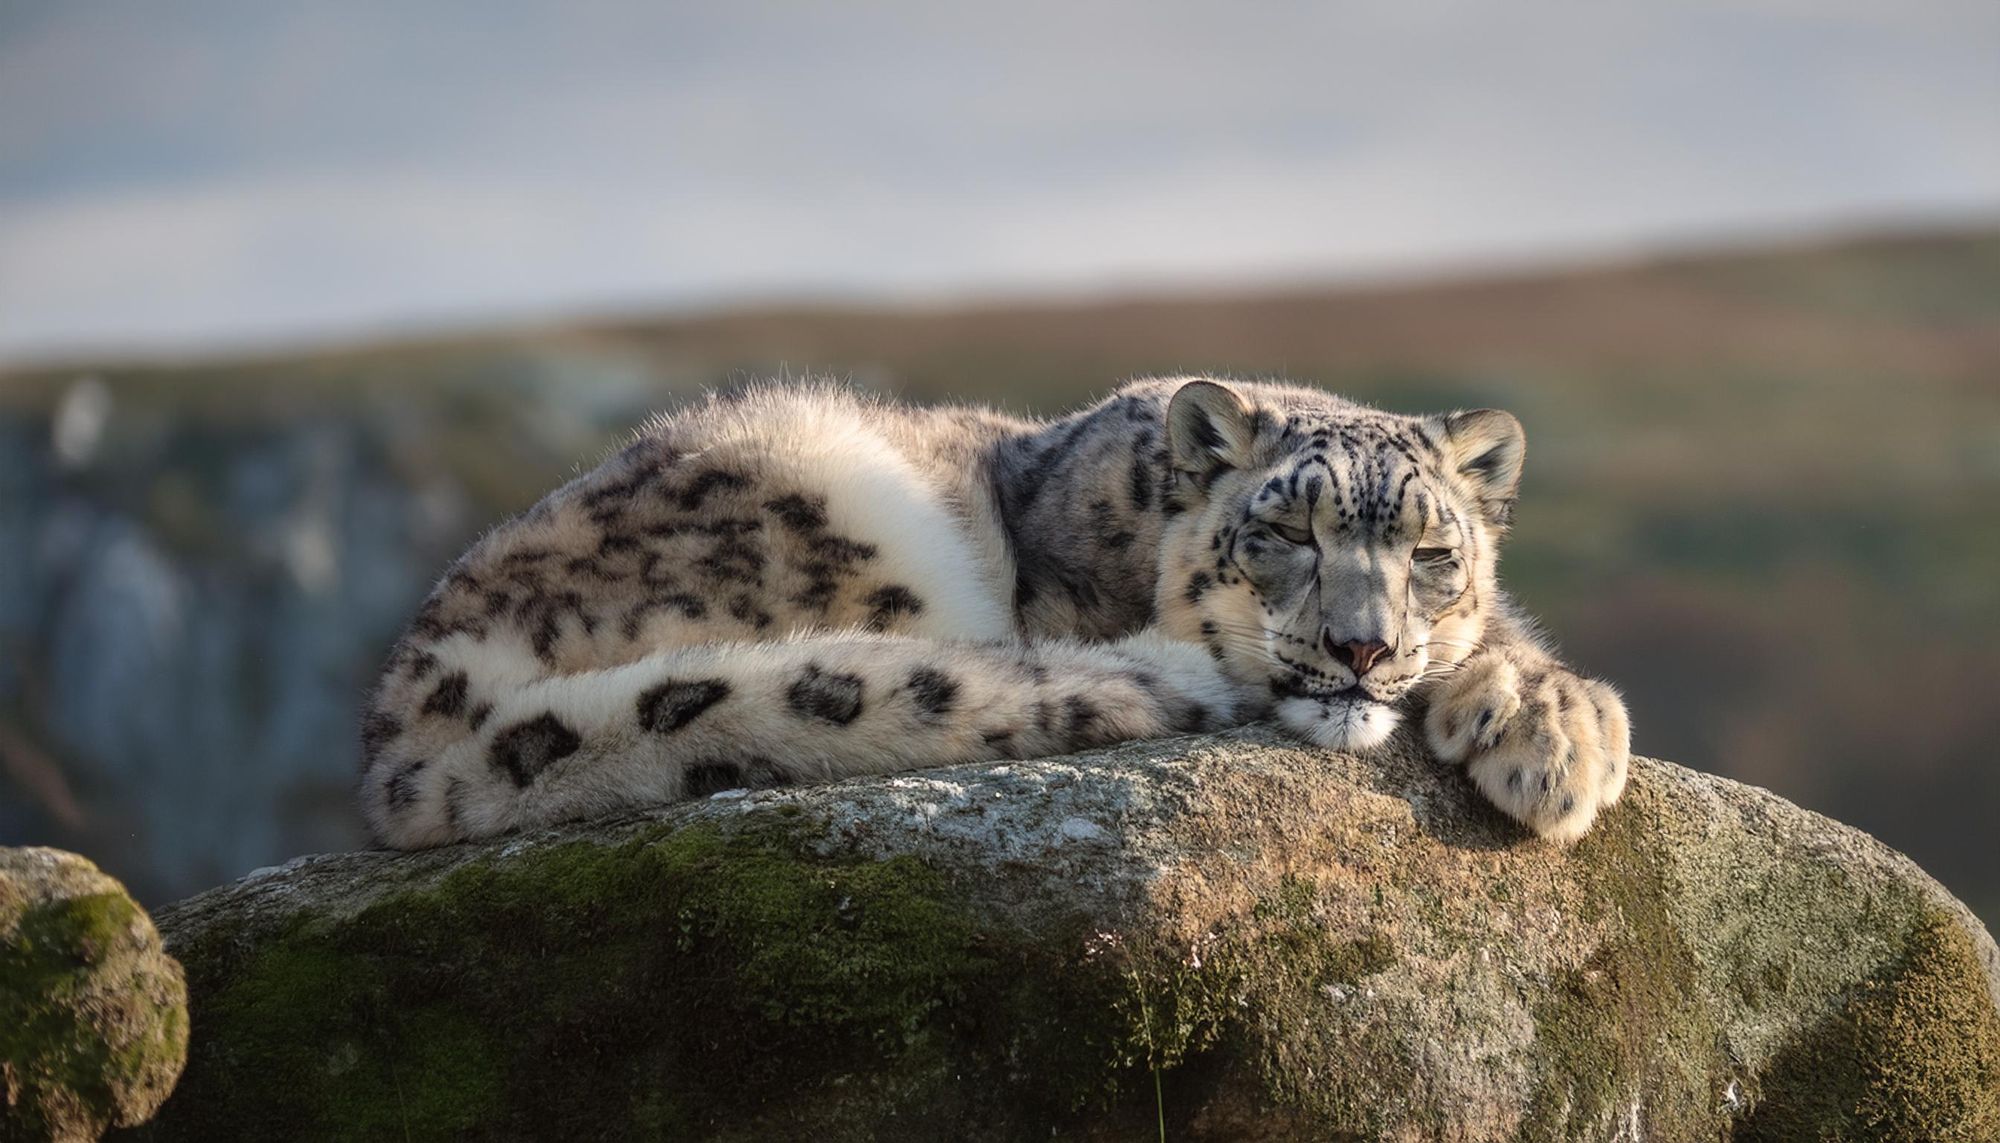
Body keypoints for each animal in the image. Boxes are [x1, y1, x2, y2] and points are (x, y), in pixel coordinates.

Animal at [359, 377, 1630, 849]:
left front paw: (1556, 733)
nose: (1361, 650)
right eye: (1282, 535)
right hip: (834, 499)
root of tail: (398, 710)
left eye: (1430, 555)